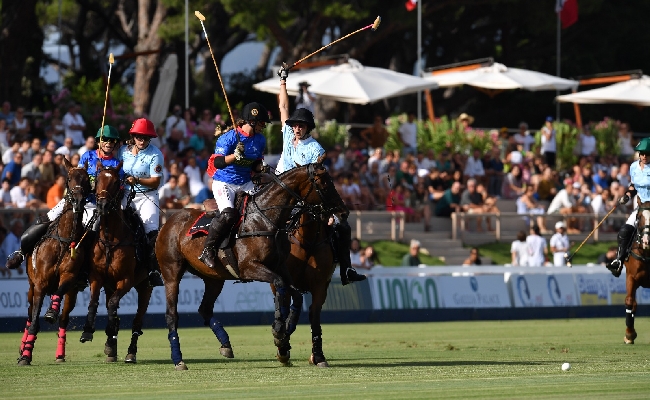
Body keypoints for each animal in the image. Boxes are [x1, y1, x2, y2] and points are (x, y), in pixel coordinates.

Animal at [17, 159, 91, 366]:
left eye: (87, 180)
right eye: (69, 178)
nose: (78, 201)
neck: (64, 240)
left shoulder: (69, 277)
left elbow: (58, 295)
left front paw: (51, 311)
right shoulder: (40, 284)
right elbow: (34, 322)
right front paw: (26, 355)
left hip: (72, 294)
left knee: (64, 319)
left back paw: (59, 354)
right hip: (31, 288)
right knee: (29, 316)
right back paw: (22, 349)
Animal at [79, 161, 153, 364]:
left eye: (115, 182)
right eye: (97, 181)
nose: (102, 205)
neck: (110, 239)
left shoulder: (125, 280)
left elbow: (112, 305)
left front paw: (112, 333)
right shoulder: (96, 277)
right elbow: (93, 302)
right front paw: (87, 331)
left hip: (145, 286)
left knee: (137, 321)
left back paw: (130, 352)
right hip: (110, 284)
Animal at [156, 164, 340, 370]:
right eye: (324, 183)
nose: (342, 210)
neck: (265, 219)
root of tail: (168, 221)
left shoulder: (280, 266)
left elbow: (296, 295)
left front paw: (284, 333)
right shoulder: (249, 267)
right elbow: (280, 285)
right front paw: (279, 330)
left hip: (213, 278)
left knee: (205, 308)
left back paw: (226, 345)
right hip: (171, 273)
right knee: (171, 315)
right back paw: (178, 359)